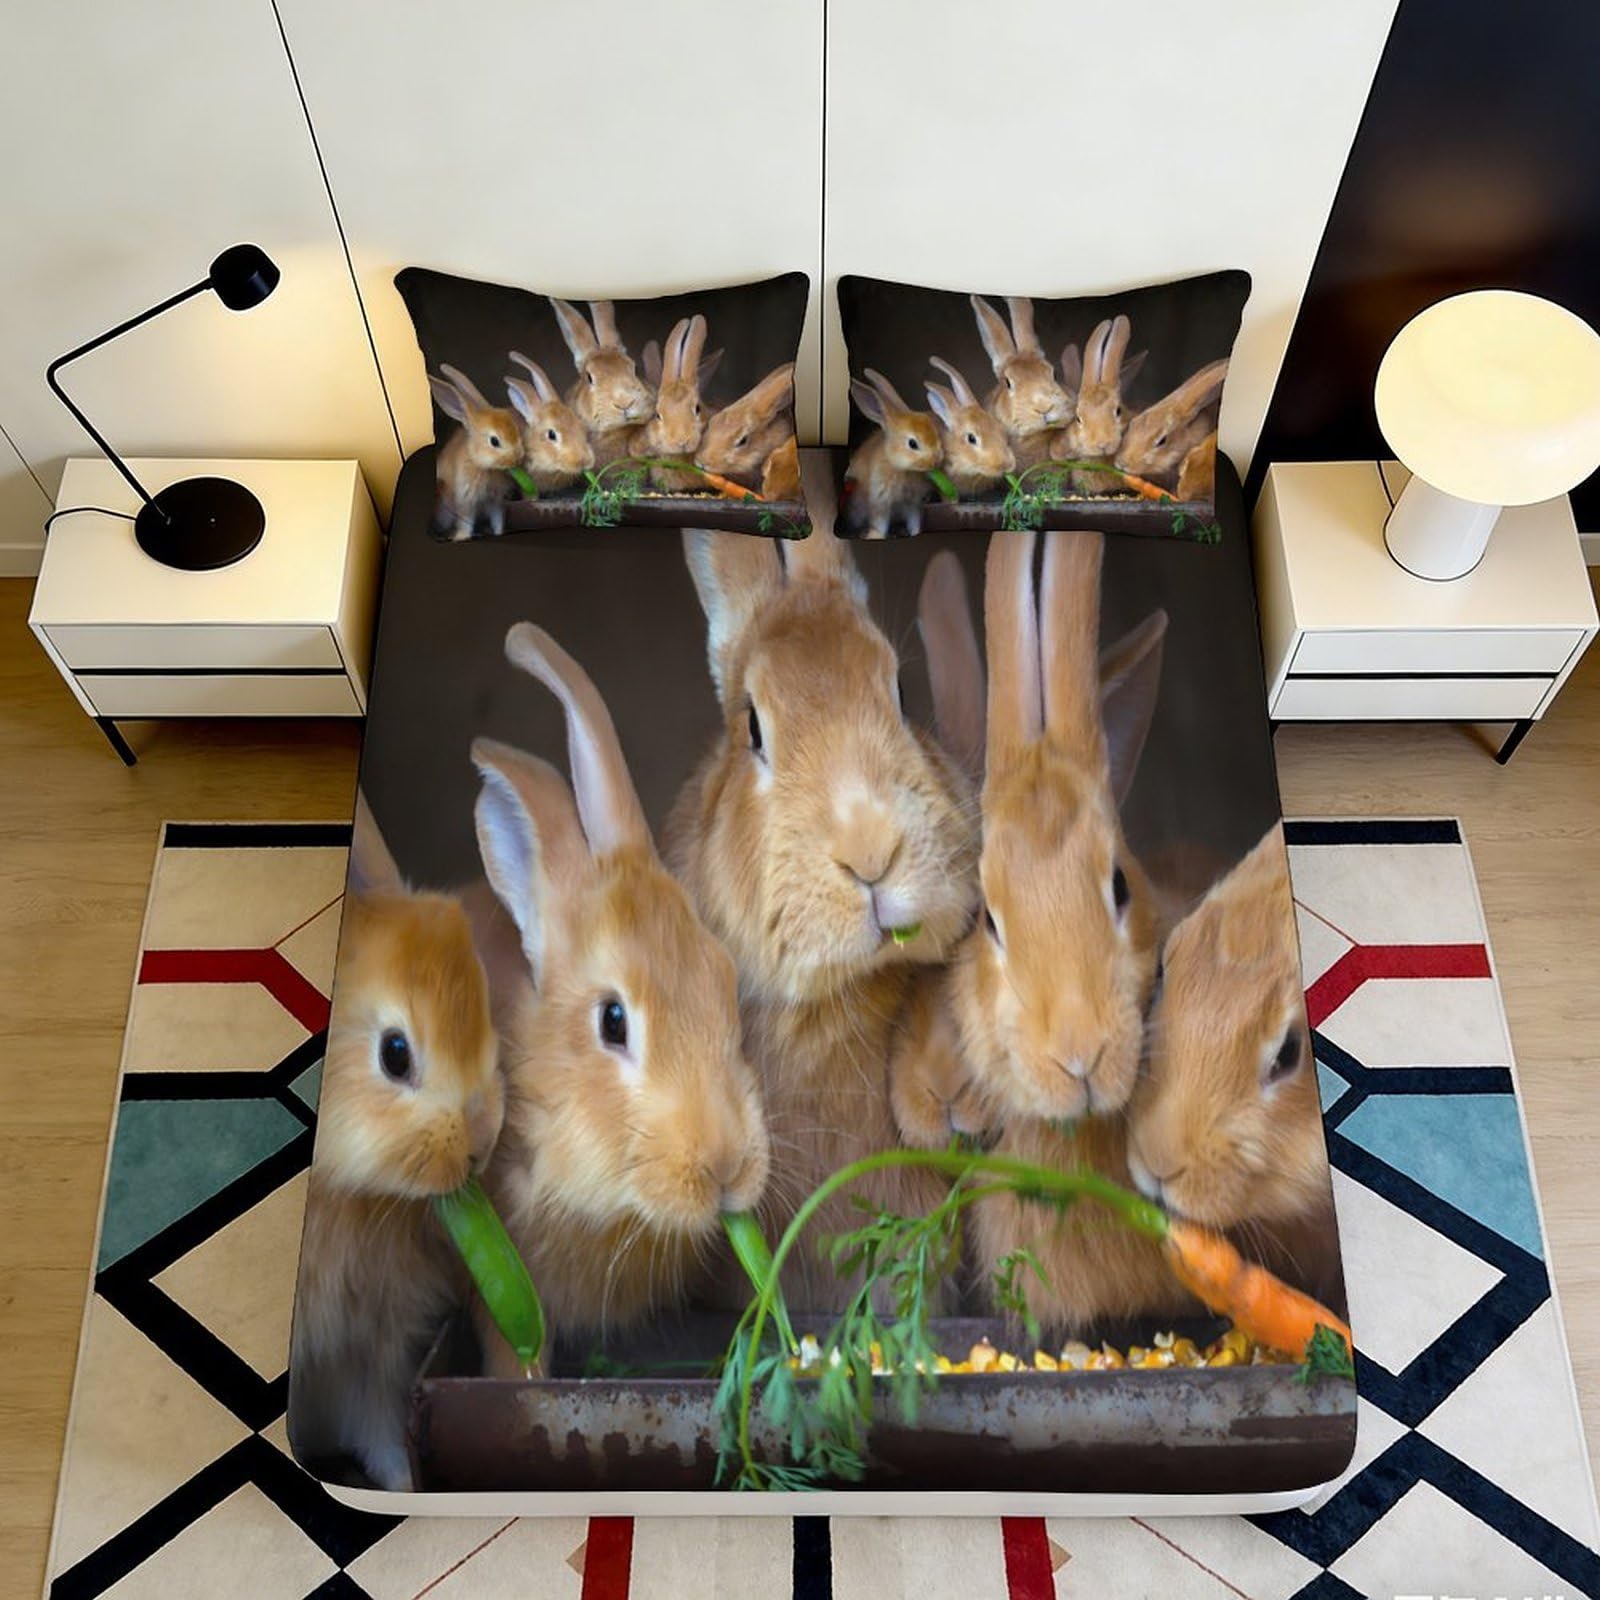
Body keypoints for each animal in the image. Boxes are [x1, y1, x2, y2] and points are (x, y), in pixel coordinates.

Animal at [288, 794, 504, 1492]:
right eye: (395, 1053)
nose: (483, 1142)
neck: (349, 1195)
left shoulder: (374, 1349)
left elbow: (381, 1431)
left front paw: (407, 1490)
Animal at [428, 364, 523, 540]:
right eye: (494, 441)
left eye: (516, 430)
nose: (517, 458)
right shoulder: (466, 501)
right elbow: (466, 521)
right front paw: (461, 537)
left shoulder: (495, 502)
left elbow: (497, 519)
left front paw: (499, 532)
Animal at [843, 367, 943, 537]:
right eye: (912, 444)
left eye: (936, 433)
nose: (936, 460)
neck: (902, 469)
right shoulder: (880, 502)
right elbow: (879, 523)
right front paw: (875, 536)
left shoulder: (913, 504)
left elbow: (914, 521)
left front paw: (915, 533)